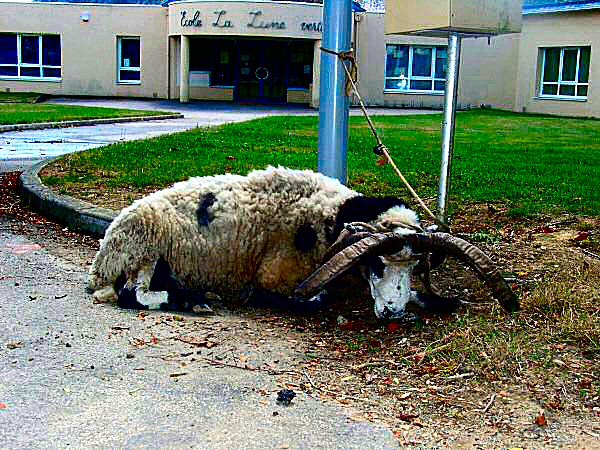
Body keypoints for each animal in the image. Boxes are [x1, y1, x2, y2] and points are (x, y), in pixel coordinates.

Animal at [86, 166, 516, 320]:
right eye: (377, 264)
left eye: (413, 267)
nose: (393, 314)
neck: (327, 216)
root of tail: (100, 266)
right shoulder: (274, 279)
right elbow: (308, 298)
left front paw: (437, 301)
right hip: (146, 245)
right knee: (133, 295)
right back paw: (192, 300)